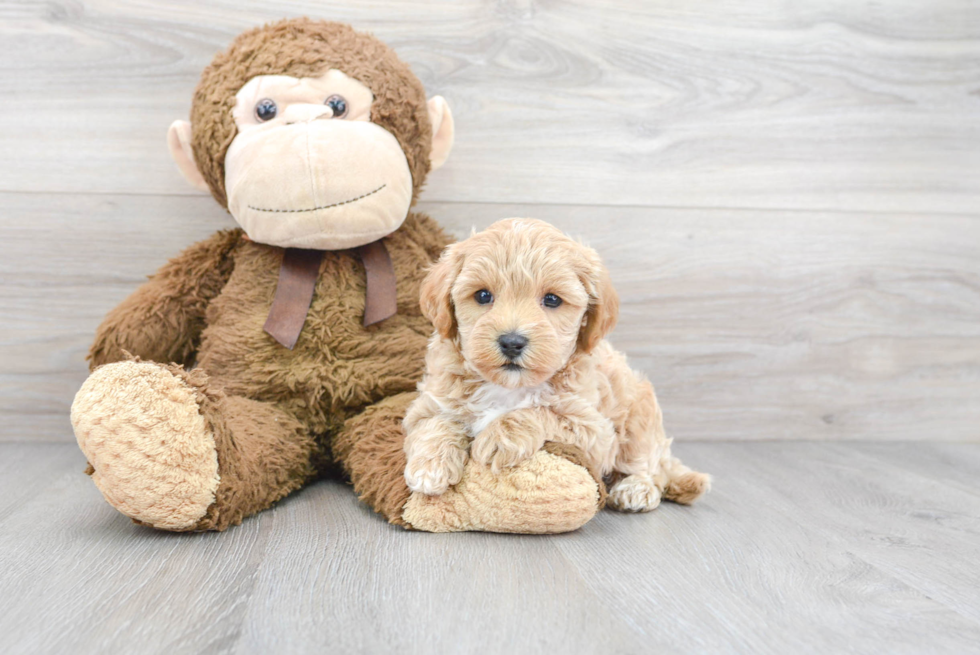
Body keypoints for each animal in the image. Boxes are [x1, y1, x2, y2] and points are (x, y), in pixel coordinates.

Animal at [402, 220, 708, 512]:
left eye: (552, 299)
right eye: (482, 296)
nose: (512, 342)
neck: (508, 388)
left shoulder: (593, 429)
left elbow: (539, 411)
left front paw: (500, 437)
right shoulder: (430, 402)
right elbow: (435, 422)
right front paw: (429, 467)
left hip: (639, 417)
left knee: (652, 467)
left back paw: (636, 489)